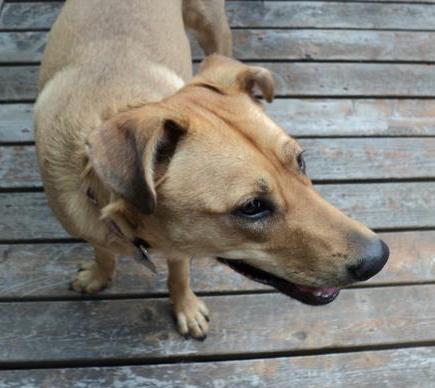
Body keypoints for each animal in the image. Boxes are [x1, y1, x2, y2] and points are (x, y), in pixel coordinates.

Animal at [33, 0, 388, 340]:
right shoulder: (94, 228)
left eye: (300, 161)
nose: (379, 258)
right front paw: (99, 275)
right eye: (252, 207)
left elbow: (179, 274)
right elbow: (103, 253)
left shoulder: (178, 248)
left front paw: (185, 308)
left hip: (212, 25)